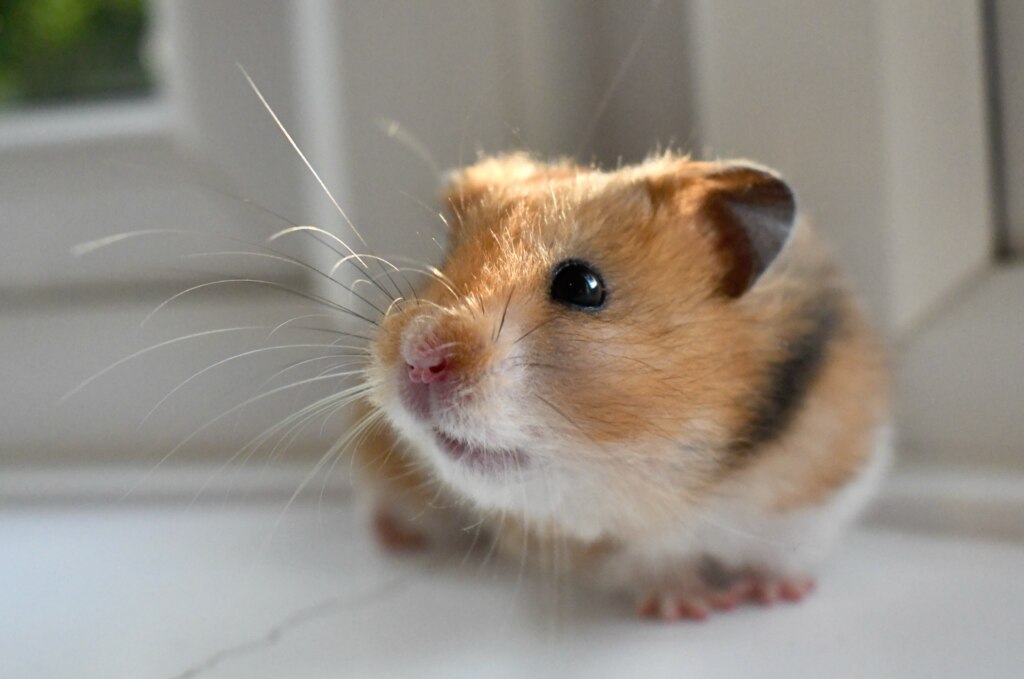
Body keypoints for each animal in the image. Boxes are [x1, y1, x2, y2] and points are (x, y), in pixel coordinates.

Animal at [354, 153, 890, 621]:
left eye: (581, 286)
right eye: (444, 260)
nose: (417, 359)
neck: (674, 477)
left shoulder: (822, 490)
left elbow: (783, 552)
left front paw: (775, 595)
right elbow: (655, 564)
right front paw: (691, 608)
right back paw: (393, 537)